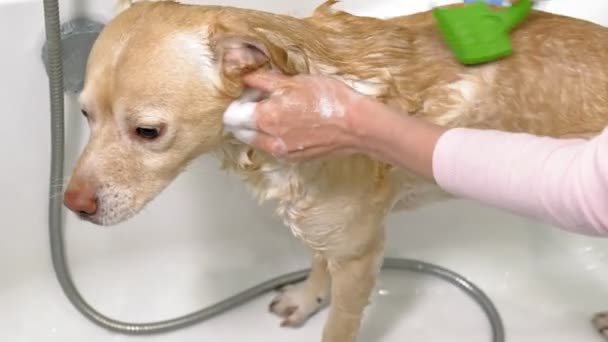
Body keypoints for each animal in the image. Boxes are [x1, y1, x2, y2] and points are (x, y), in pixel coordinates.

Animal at [65, 1, 608, 340]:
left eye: (148, 132)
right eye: (84, 115)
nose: (73, 205)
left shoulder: (361, 255)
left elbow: (339, 326)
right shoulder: (324, 228)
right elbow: (316, 263)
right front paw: (306, 300)